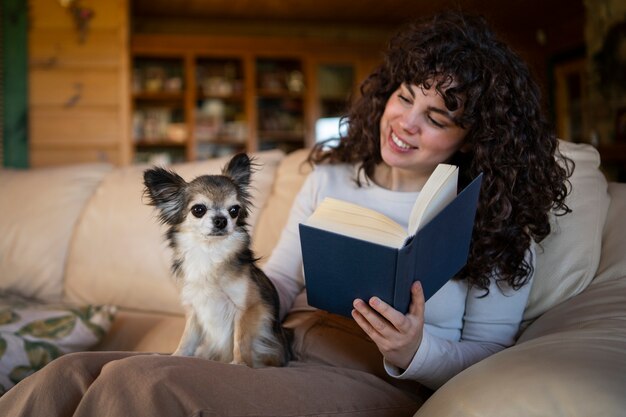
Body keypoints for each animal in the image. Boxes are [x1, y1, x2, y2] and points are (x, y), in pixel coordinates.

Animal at [142, 154, 290, 368]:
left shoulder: (247, 307)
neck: (209, 252)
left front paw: (240, 363)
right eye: (198, 210)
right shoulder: (195, 310)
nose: (221, 220)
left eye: (234, 210)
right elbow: (187, 339)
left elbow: (241, 339)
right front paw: (176, 356)